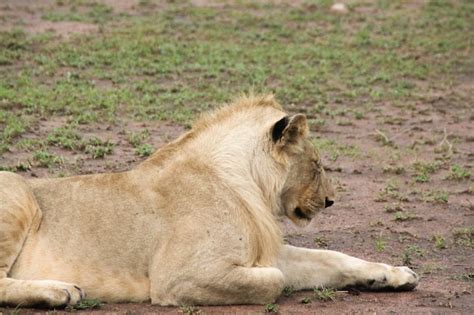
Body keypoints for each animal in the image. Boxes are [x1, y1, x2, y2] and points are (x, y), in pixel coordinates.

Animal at [0, 95, 418, 308]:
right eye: (317, 166)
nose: (330, 200)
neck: (244, 183)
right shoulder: (178, 277)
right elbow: (276, 280)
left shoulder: (262, 252)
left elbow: (331, 259)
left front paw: (393, 274)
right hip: (17, 194)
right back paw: (61, 291)